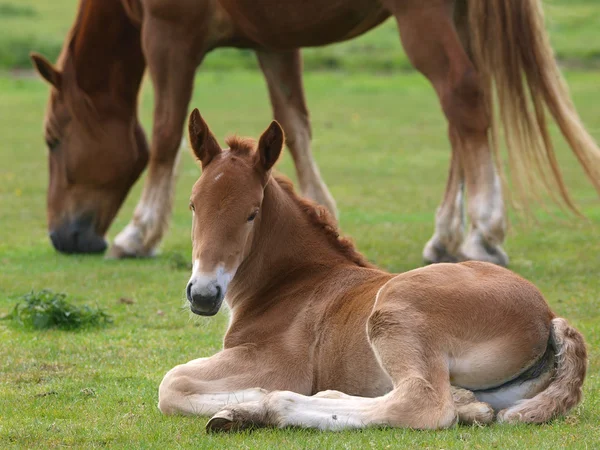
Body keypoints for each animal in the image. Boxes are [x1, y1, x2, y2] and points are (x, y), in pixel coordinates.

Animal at [30, 0, 600, 264]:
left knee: (463, 98)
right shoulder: (272, 41)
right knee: (461, 120)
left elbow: (167, 131)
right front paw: (319, 210)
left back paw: (484, 231)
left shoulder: (169, 35)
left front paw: (139, 232)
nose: (61, 236)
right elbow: (294, 124)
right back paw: (445, 236)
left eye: (53, 140)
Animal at [157, 110, 588, 432]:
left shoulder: (275, 361)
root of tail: (548, 315)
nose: (203, 295)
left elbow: (172, 383)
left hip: (392, 310)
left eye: (252, 213)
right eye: (193, 205)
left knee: (423, 404)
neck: (294, 282)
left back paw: (273, 407)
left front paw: (252, 401)